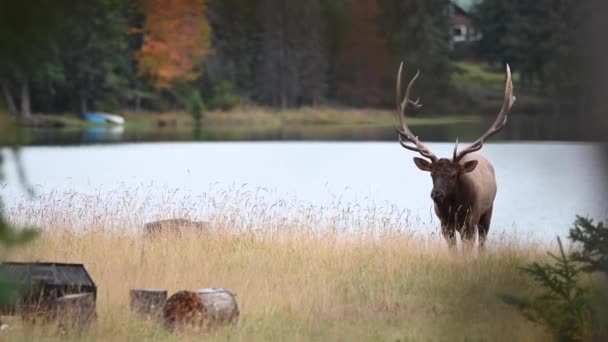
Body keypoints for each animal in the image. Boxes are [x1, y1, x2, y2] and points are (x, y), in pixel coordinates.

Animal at [394, 61, 512, 250]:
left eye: (453, 175)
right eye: (431, 174)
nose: (436, 195)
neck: (455, 209)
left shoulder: (470, 222)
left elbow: (468, 249)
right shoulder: (444, 224)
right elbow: (453, 250)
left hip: (487, 212)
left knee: (483, 243)